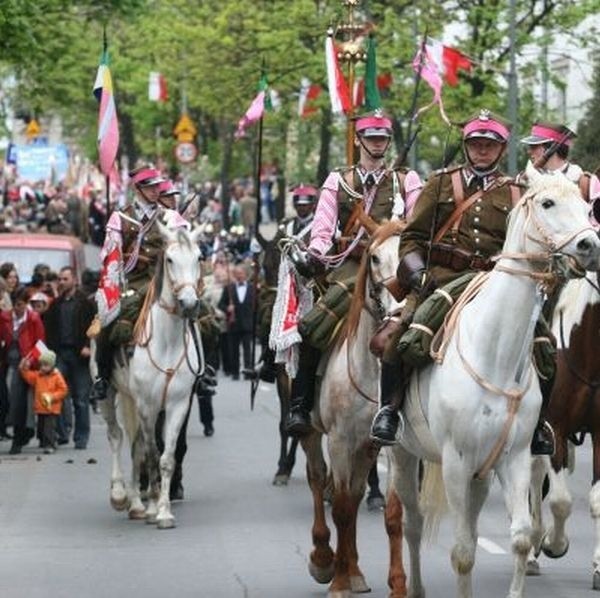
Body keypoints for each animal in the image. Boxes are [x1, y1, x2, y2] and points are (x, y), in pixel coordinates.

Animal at [96, 224, 204, 528]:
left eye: (199, 257)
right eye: (169, 259)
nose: (189, 304)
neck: (167, 342)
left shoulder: (177, 405)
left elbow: (165, 457)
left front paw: (163, 510)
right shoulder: (147, 404)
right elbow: (151, 453)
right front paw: (155, 504)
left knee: (135, 446)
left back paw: (136, 505)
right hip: (110, 395)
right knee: (117, 436)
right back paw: (121, 495)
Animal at [302, 223, 406, 598]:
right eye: (373, 257)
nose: (399, 308)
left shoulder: (390, 445)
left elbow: (392, 514)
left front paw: (396, 584)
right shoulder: (339, 441)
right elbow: (343, 510)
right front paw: (338, 581)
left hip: (365, 447)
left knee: (357, 492)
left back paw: (355, 569)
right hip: (312, 433)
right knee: (318, 479)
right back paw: (324, 559)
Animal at [384, 169, 600, 598]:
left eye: (587, 206)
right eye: (547, 203)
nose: (590, 246)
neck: (495, 352)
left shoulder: (514, 455)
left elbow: (519, 537)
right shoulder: (455, 461)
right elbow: (463, 551)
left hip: (483, 473)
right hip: (403, 455)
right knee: (413, 523)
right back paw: (414, 587)